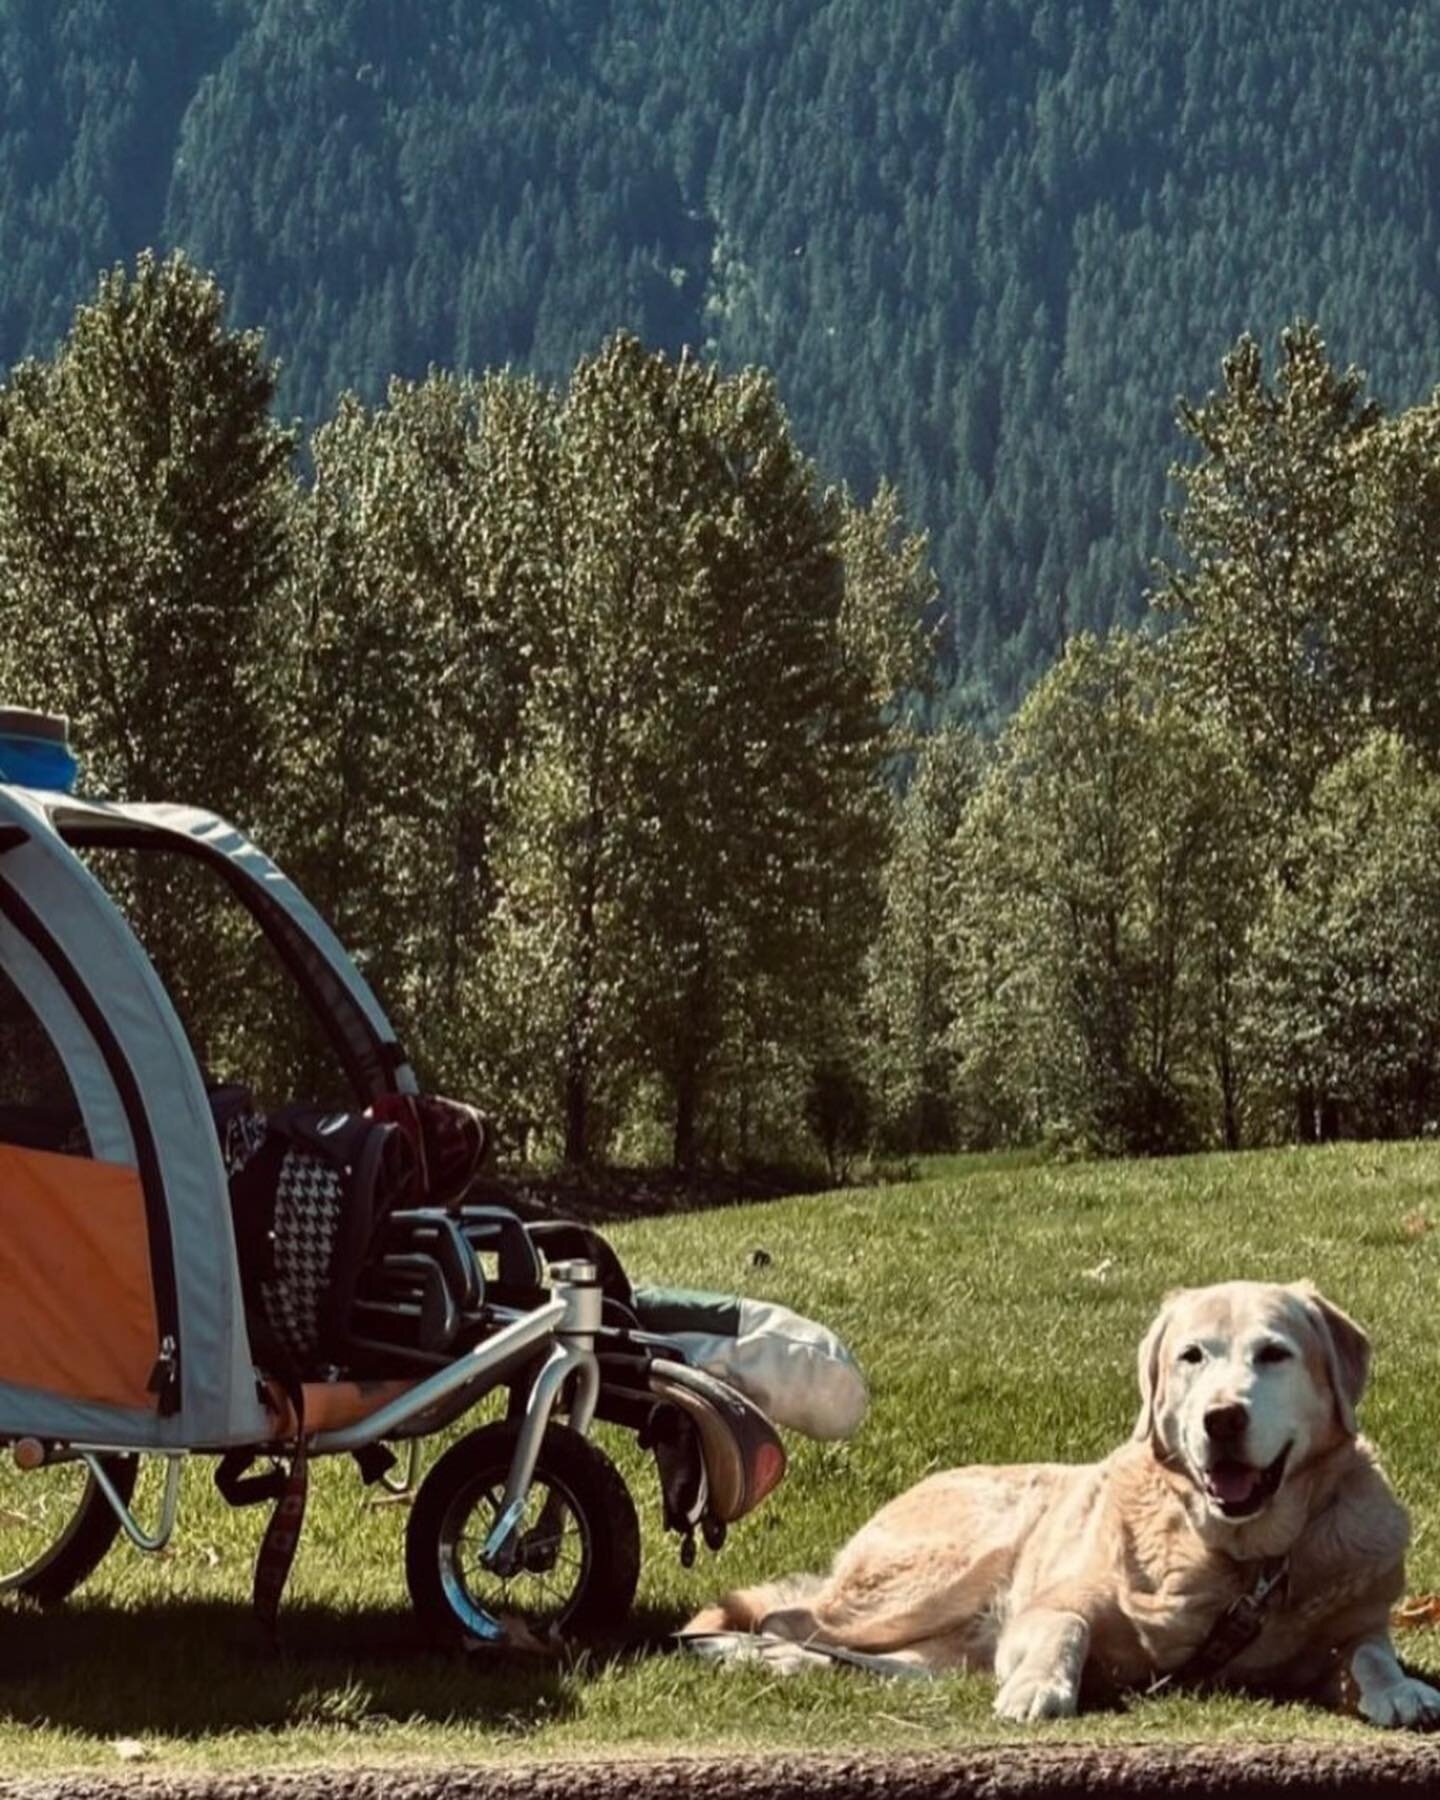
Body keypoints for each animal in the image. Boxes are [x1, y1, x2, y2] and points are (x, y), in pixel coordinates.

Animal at [684, 1281, 1440, 1728]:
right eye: (1192, 1356)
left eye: (1274, 1353)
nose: (1222, 1419)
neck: (1241, 1560)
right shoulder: (1051, 1604)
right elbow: (1063, 1628)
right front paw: (1038, 1686)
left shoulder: (1349, 1623)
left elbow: (1369, 1653)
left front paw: (1401, 1689)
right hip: (957, 1559)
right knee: (793, 1617)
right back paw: (748, 1650)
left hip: (939, 1638)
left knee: (868, 1656)